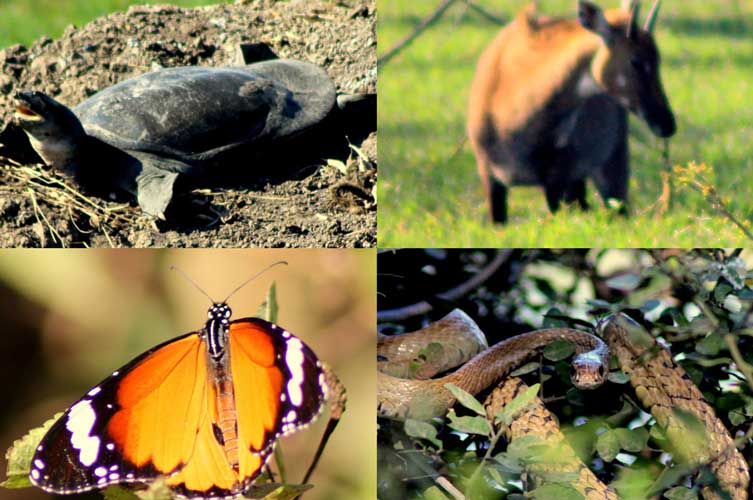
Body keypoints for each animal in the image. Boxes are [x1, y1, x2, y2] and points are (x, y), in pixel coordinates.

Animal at [470, 0, 676, 223]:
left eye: (658, 59)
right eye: (636, 61)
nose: (667, 124)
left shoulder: (557, 179)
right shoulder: (490, 177)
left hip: (609, 166)